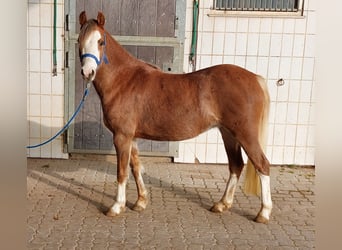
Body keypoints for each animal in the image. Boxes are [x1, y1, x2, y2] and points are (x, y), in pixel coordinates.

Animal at [77, 10, 272, 224]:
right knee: (236, 165)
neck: (123, 80)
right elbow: (136, 167)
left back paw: (263, 212)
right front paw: (140, 202)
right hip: (228, 134)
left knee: (262, 165)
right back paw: (222, 204)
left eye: (100, 41)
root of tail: (255, 78)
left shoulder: (121, 136)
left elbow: (122, 172)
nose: (88, 72)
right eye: (79, 40)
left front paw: (116, 206)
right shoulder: (131, 137)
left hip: (245, 134)